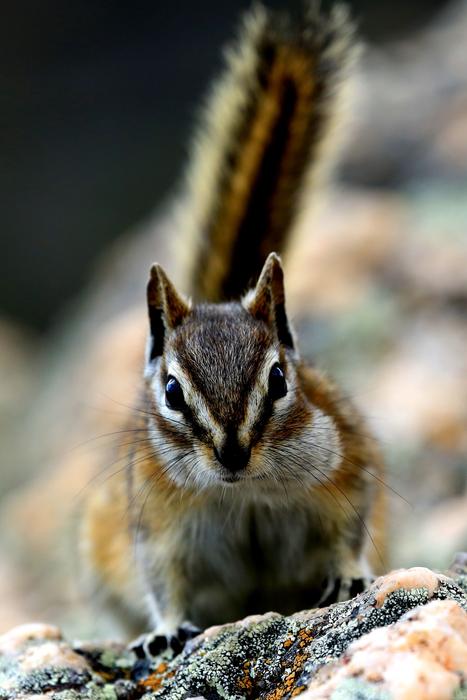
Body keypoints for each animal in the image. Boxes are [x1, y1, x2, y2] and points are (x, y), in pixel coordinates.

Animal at [79, 3, 387, 655]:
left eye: (280, 380)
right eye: (171, 392)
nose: (232, 454)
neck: (242, 493)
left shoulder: (346, 472)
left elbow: (347, 533)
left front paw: (349, 574)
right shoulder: (155, 525)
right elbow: (163, 580)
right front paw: (167, 630)